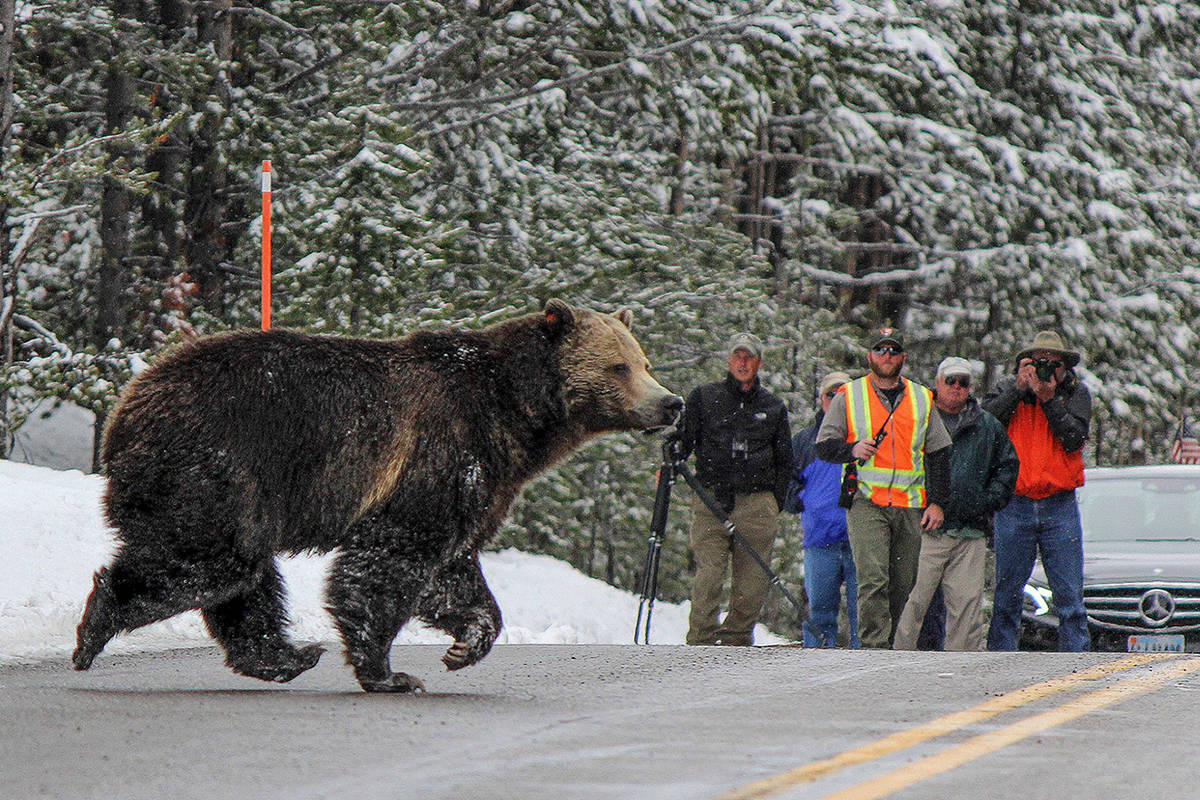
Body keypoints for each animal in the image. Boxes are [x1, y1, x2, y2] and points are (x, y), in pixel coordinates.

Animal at [72, 299, 676, 695]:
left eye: (644, 361)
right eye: (620, 365)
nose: (669, 403)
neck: (517, 416)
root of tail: (126, 406)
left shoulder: (480, 482)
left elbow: (453, 569)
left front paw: (465, 643)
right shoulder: (443, 452)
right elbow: (391, 560)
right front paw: (391, 672)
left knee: (245, 580)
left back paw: (286, 655)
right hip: (216, 469)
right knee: (210, 562)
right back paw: (95, 629)